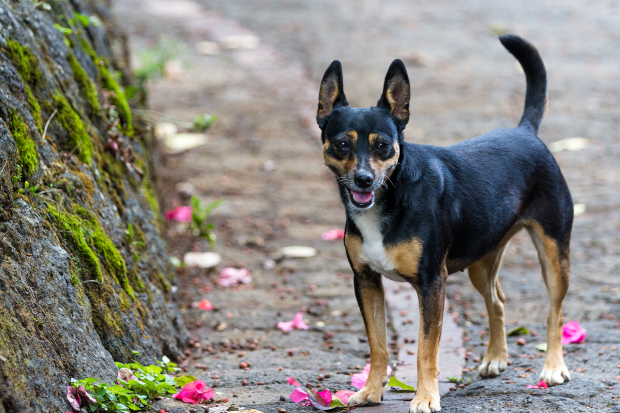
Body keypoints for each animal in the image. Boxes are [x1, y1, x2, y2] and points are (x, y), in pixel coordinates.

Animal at [318, 33, 572, 410]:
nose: (364, 180)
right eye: (341, 144)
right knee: (496, 300)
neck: (393, 196)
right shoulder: (365, 281)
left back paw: (553, 367)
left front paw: (425, 397)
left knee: (555, 311)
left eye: (383, 146)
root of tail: (526, 131)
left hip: (554, 256)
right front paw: (371, 391)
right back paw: (495, 358)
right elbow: (378, 345)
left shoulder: (431, 284)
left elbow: (426, 350)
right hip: (482, 261)